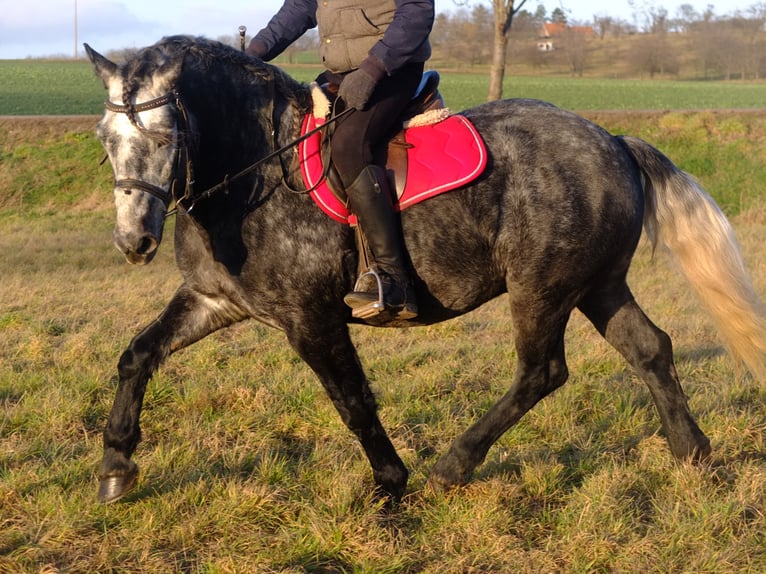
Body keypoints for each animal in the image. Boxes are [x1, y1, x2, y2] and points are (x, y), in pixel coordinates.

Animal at [84, 36, 766, 504]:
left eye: (166, 135)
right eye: (106, 138)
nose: (134, 240)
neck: (254, 173)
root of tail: (615, 141)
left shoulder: (310, 317)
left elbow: (352, 399)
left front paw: (391, 481)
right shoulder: (214, 299)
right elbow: (137, 355)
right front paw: (116, 465)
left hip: (543, 287)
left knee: (542, 372)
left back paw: (453, 465)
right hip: (596, 283)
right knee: (649, 348)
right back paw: (692, 452)